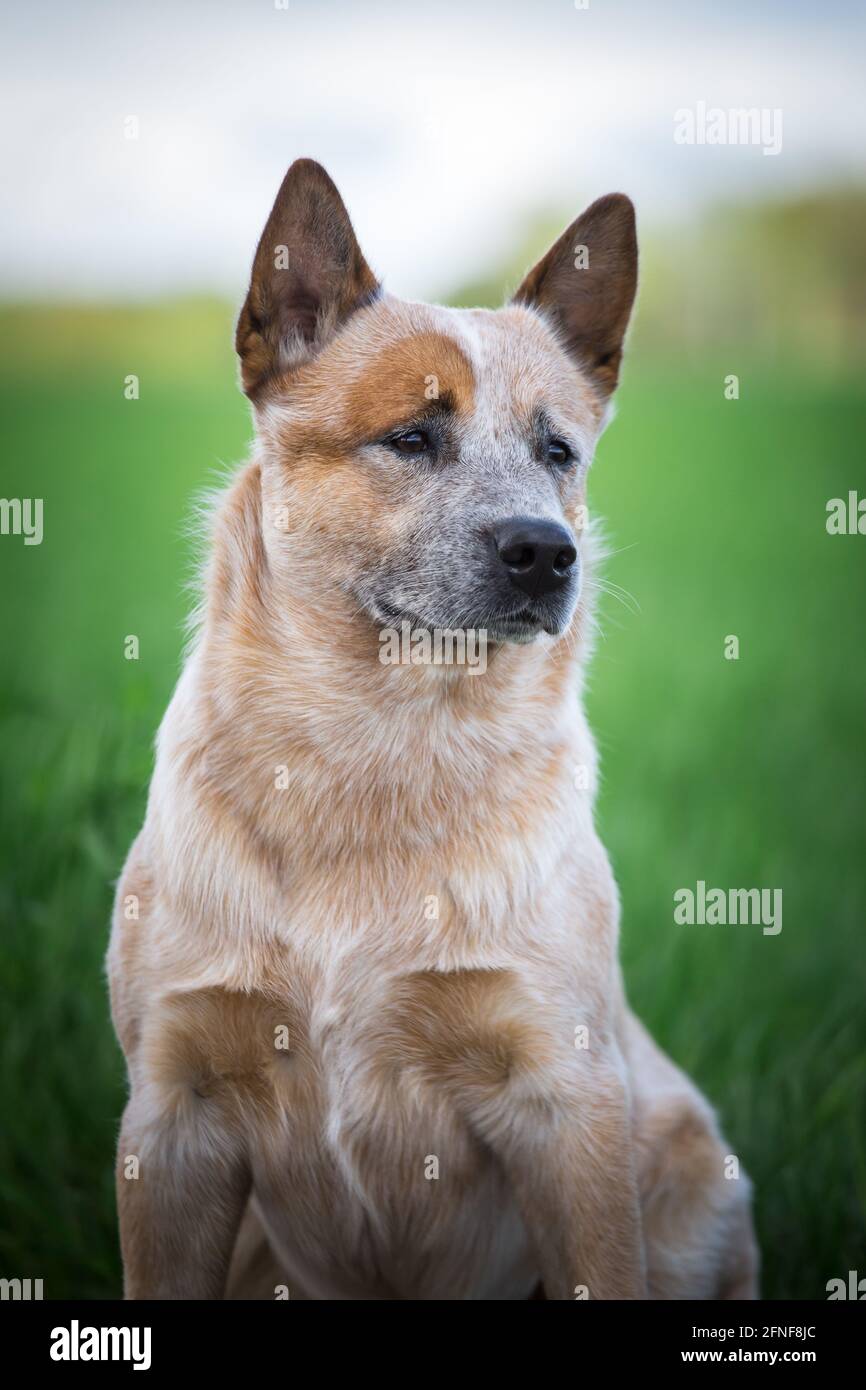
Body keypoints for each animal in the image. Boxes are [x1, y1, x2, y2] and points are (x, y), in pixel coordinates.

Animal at [107, 162, 756, 1301]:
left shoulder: (563, 1097)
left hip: (686, 1168)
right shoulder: (173, 1111)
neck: (375, 748)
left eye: (556, 451)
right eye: (411, 435)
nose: (544, 552)